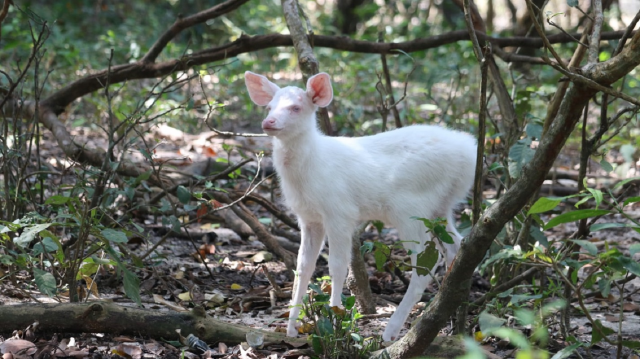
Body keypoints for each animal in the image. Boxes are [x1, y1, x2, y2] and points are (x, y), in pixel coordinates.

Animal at [245, 71, 476, 344]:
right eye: (269, 106)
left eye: (295, 107)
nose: (268, 122)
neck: (312, 168)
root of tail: (470, 154)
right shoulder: (309, 218)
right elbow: (303, 266)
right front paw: (292, 328)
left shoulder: (339, 211)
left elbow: (337, 265)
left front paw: (335, 321)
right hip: (441, 205)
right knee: (457, 245)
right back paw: (449, 317)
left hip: (411, 206)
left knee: (426, 262)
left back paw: (392, 331)